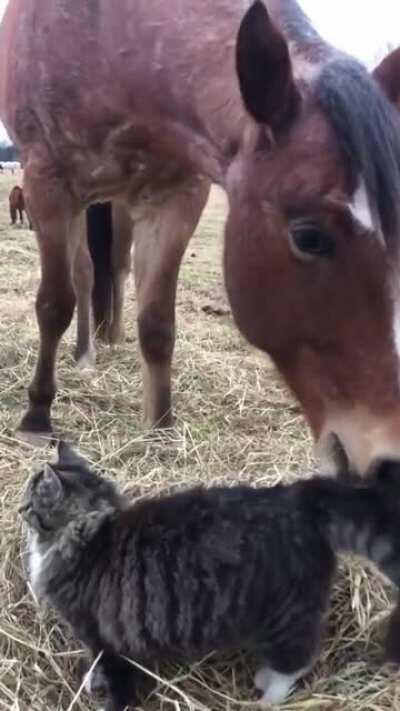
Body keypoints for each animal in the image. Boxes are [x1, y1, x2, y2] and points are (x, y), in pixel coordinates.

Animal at [1, 1, 400, 478]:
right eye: (309, 237)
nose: (390, 463)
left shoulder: (178, 198)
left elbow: (157, 323)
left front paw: (161, 426)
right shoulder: (48, 184)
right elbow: (54, 304)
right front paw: (37, 417)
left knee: (113, 268)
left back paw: (110, 336)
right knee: (82, 274)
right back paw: (84, 353)